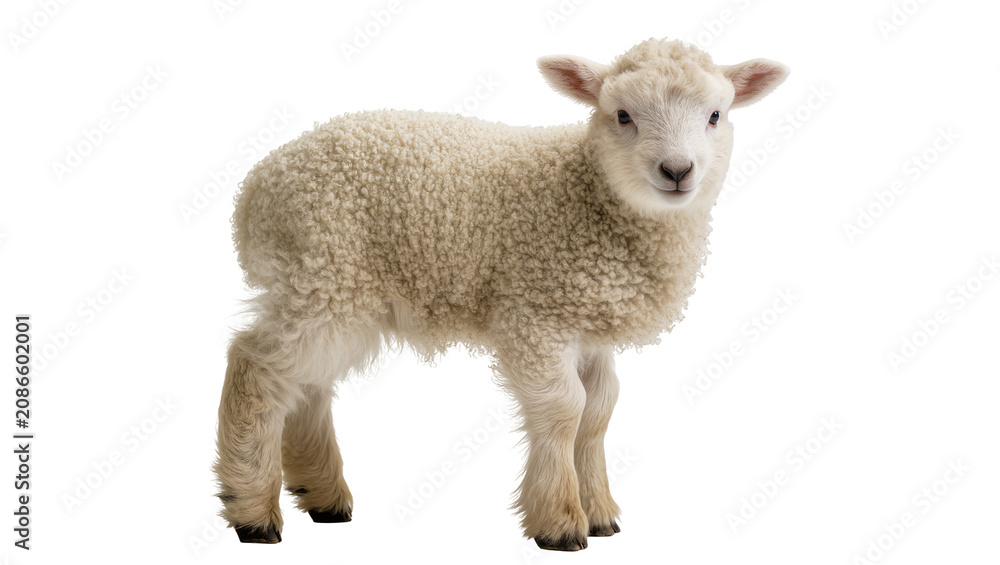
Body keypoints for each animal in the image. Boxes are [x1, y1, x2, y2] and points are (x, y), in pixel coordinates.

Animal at [214, 38, 788, 551]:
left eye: (715, 115)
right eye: (623, 115)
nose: (677, 171)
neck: (591, 196)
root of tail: (256, 190)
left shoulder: (588, 324)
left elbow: (599, 412)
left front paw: (601, 513)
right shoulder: (536, 314)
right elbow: (565, 409)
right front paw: (561, 522)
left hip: (331, 286)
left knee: (308, 384)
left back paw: (323, 495)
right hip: (324, 269)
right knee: (258, 368)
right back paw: (253, 511)